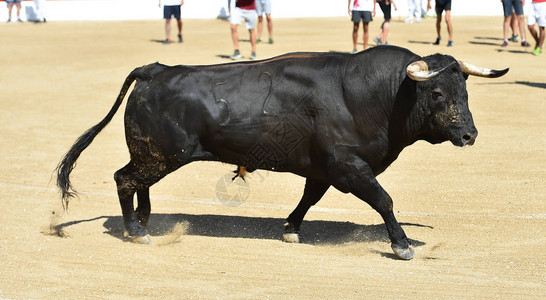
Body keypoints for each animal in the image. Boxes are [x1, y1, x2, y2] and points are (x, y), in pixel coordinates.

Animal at [56, 45, 506, 258]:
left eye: (465, 90)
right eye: (437, 92)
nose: (470, 135)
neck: (376, 95)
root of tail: (154, 70)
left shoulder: (324, 169)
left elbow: (309, 198)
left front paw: (290, 228)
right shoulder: (349, 167)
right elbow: (384, 200)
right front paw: (402, 245)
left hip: (155, 155)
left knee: (137, 182)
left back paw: (144, 222)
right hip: (161, 155)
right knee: (124, 179)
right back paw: (135, 231)